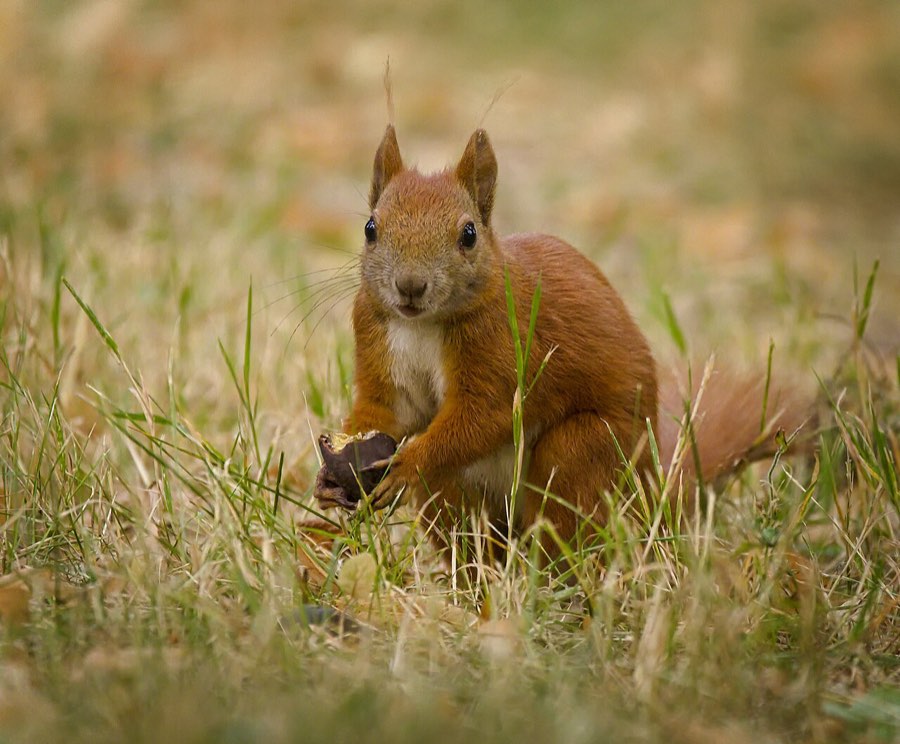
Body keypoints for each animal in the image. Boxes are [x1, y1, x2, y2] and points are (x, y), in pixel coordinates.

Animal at [314, 125, 804, 550]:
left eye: (469, 234)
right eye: (370, 228)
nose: (410, 286)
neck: (421, 325)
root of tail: (651, 490)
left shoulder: (506, 350)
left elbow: (484, 416)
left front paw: (408, 464)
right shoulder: (379, 339)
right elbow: (388, 412)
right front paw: (330, 478)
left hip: (582, 454)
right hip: (457, 496)